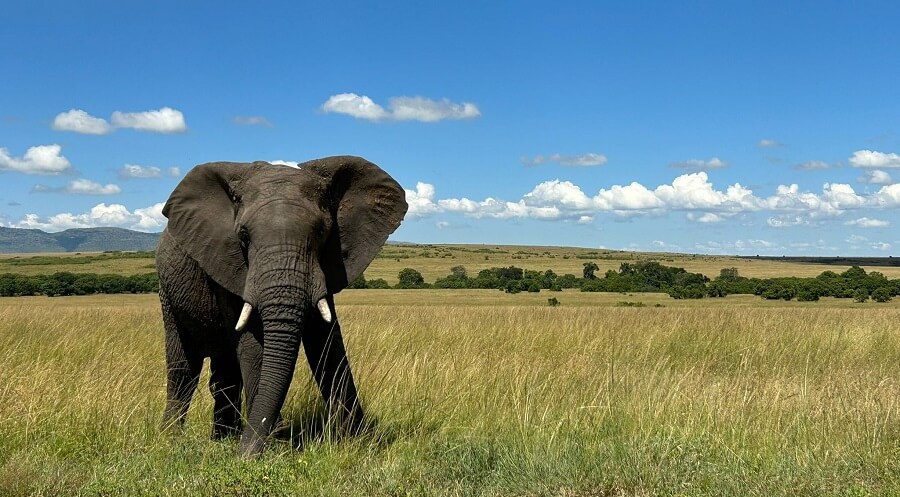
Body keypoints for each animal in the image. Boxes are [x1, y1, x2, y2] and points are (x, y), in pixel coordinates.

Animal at [156, 156, 408, 458]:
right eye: (243, 236)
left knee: (225, 372)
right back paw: (171, 439)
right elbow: (254, 342)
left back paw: (223, 438)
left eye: (322, 232)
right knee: (183, 370)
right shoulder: (226, 260)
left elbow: (326, 341)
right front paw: (271, 445)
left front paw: (358, 439)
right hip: (167, 295)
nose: (244, 456)